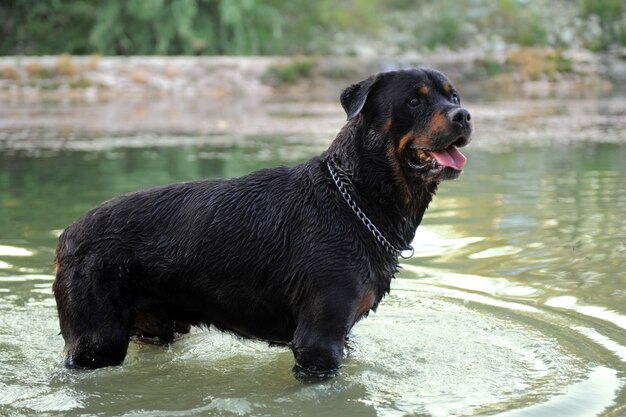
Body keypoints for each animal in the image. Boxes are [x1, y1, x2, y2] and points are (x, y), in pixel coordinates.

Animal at [53, 67, 470, 376]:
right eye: (414, 100)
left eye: (454, 97)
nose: (464, 116)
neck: (356, 197)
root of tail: (66, 236)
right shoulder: (319, 341)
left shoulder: (341, 335)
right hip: (97, 342)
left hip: (154, 328)